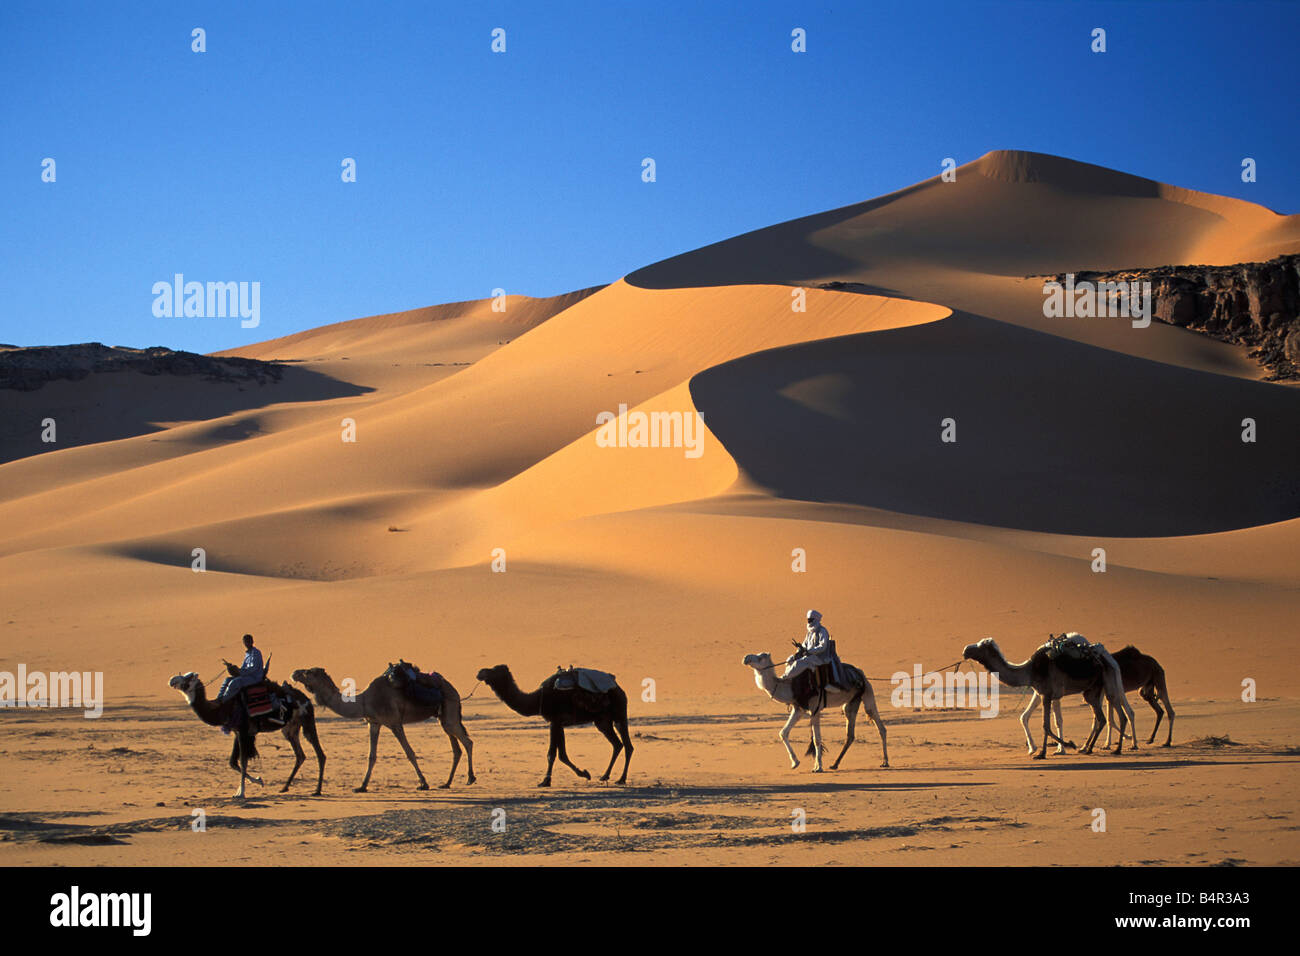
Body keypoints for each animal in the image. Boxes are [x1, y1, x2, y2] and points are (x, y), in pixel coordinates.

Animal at [168, 672, 325, 798]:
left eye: (187, 677)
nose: (171, 680)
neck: (224, 708)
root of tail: (306, 699)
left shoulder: (244, 731)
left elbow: (243, 761)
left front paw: (241, 793)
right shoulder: (238, 732)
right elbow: (233, 762)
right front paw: (257, 781)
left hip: (307, 719)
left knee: (319, 752)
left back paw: (317, 790)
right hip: (290, 728)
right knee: (300, 755)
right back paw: (284, 787)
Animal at [291, 666, 474, 791]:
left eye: (308, 672)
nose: (294, 672)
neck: (364, 701)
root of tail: (454, 690)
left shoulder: (394, 723)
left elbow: (409, 753)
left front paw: (423, 783)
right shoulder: (373, 723)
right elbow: (371, 756)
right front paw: (362, 786)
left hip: (450, 709)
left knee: (467, 742)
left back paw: (470, 778)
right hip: (442, 717)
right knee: (456, 747)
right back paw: (447, 783)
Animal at [475, 665, 633, 787]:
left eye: (494, 670)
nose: (480, 672)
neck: (537, 699)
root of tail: (618, 688)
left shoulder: (555, 721)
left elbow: (553, 754)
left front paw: (546, 781)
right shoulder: (558, 723)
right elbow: (562, 754)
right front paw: (584, 773)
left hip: (619, 712)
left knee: (628, 745)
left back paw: (621, 779)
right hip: (602, 721)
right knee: (617, 744)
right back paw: (605, 776)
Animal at [742, 652, 888, 772]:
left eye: (760, 657)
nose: (746, 658)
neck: (790, 686)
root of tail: (860, 674)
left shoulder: (815, 708)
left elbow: (816, 739)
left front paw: (818, 767)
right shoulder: (799, 708)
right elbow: (783, 732)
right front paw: (795, 763)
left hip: (867, 692)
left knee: (879, 724)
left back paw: (885, 762)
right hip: (851, 702)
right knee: (850, 734)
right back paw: (835, 764)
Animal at [962, 636, 1130, 758]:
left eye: (980, 646)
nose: (965, 650)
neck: (1030, 671)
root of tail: (1106, 658)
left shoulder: (1046, 694)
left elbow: (1046, 725)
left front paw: (1048, 751)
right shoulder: (1044, 694)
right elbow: (1047, 725)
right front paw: (1061, 747)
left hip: (1106, 680)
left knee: (1115, 711)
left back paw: (1111, 749)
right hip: (1092, 690)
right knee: (1102, 717)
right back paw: (1089, 748)